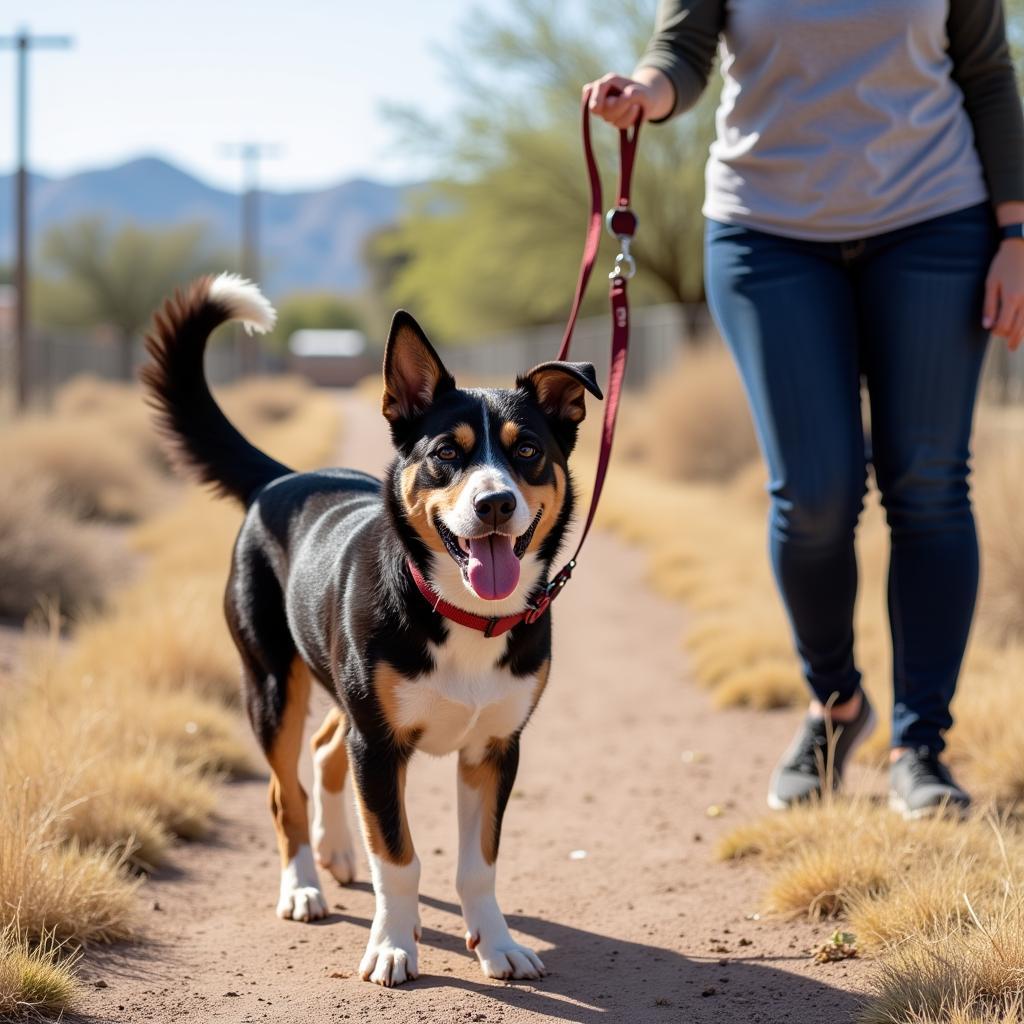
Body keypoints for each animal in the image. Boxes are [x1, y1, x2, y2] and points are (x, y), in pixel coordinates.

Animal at [136, 270, 598, 983]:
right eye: (446, 453)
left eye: (527, 451)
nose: (495, 503)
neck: (464, 615)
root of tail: (284, 478)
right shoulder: (379, 747)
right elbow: (400, 860)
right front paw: (392, 946)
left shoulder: (494, 748)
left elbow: (479, 865)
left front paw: (496, 944)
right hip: (273, 684)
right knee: (286, 792)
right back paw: (302, 886)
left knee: (327, 747)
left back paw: (336, 853)